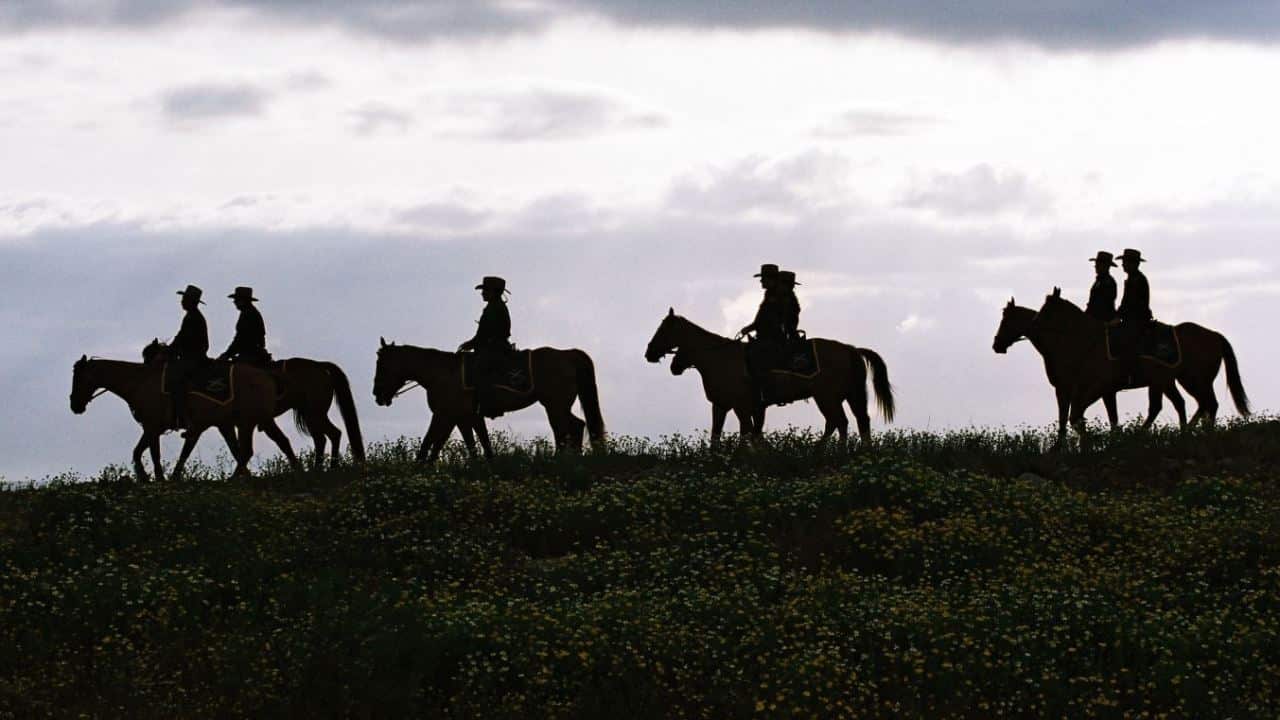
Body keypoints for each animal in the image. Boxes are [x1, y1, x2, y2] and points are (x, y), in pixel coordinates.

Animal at [70, 351, 280, 479]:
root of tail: (266, 376)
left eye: (78, 378)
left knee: (246, 451)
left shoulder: (152, 426)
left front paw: (157, 478)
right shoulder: (151, 428)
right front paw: (145, 477)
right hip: (240, 423)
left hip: (245, 422)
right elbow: (138, 452)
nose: (74, 405)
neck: (140, 382)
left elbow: (154, 454)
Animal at [373, 338, 606, 461]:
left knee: (566, 429)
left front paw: (421, 466)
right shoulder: (463, 417)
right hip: (557, 405)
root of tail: (568, 354)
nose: (377, 395)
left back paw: (563, 458)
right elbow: (474, 442)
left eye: (382, 365)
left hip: (555, 405)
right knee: (573, 426)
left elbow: (432, 440)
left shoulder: (445, 415)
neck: (442, 373)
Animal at [645, 307, 896, 445]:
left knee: (839, 422)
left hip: (826, 397)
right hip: (849, 396)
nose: (649, 353)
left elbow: (747, 432)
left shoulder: (741, 406)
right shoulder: (722, 405)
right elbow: (720, 435)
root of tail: (851, 349)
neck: (720, 358)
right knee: (857, 421)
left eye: (663, 330)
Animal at [988, 288, 1249, 440]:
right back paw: (1183, 432)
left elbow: (1076, 416)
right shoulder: (1074, 390)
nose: (997, 344)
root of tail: (1214, 335)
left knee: (1206, 404)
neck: (1078, 341)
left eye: (1005, 319)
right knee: (1184, 405)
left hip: (1193, 380)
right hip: (1170, 381)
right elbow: (1077, 417)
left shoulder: (1092, 388)